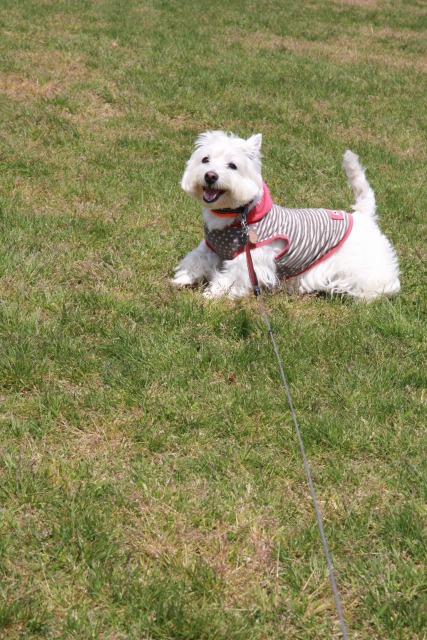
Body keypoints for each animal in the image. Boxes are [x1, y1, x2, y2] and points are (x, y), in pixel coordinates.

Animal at [172, 131, 400, 302]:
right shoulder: (211, 247)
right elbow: (196, 260)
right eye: (205, 159)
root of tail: (362, 215)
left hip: (366, 266)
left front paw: (211, 295)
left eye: (232, 166)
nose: (210, 176)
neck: (237, 215)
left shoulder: (249, 260)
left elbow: (230, 278)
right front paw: (181, 279)